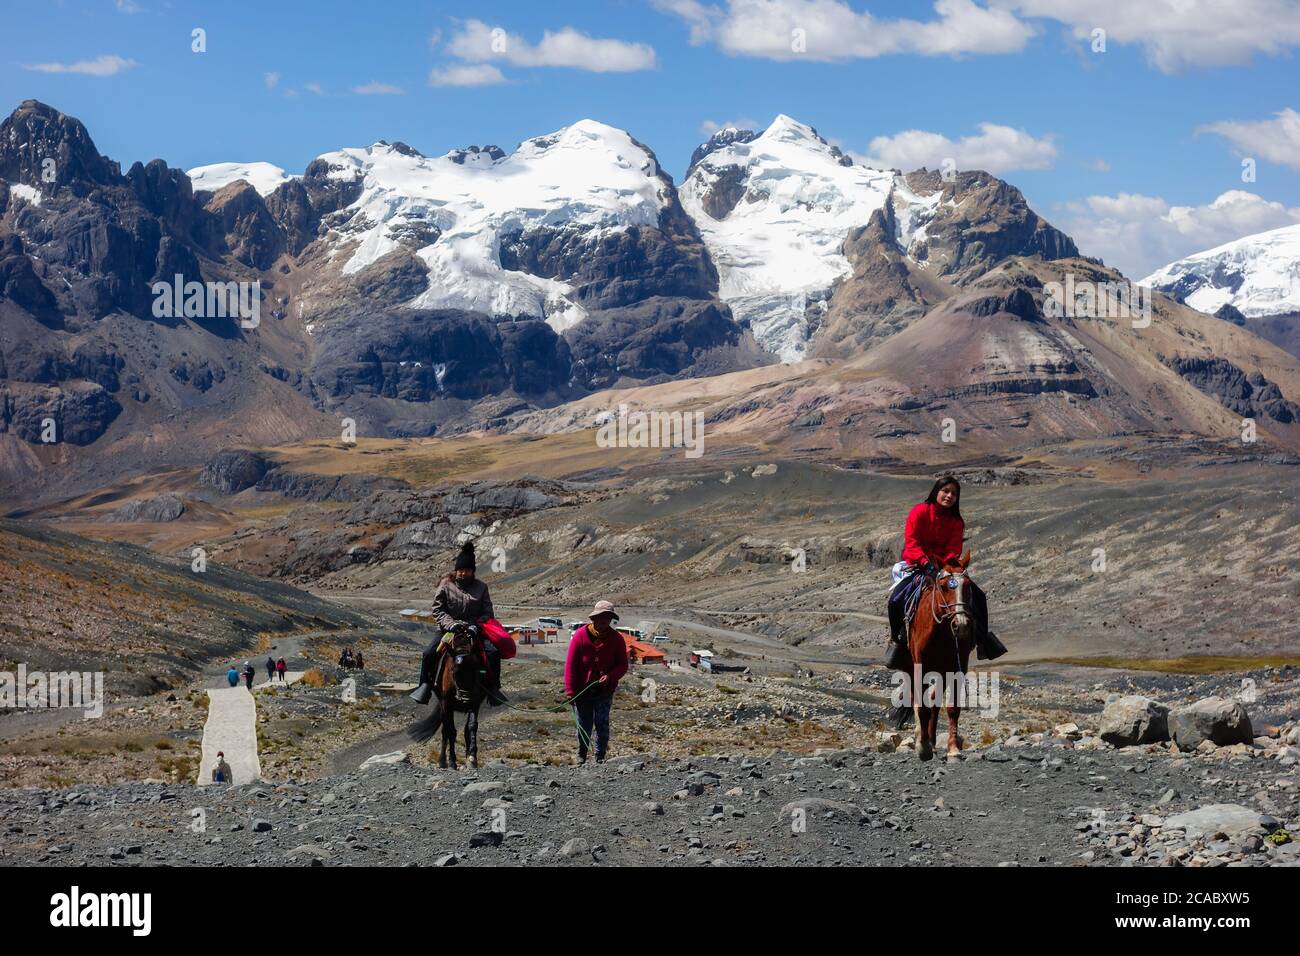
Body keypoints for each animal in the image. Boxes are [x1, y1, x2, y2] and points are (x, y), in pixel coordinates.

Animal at [904, 554, 977, 764]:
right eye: (944, 586)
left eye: (968, 585)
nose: (961, 625)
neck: (940, 633)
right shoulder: (920, 665)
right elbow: (921, 706)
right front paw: (923, 747)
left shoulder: (957, 667)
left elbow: (952, 708)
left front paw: (953, 750)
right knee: (916, 698)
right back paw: (923, 738)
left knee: (934, 701)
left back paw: (934, 742)